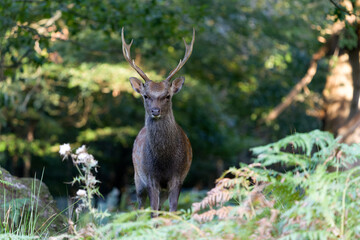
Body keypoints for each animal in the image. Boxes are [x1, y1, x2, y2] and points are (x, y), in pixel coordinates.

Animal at [121, 28, 194, 214]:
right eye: (146, 96)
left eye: (167, 96)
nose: (155, 111)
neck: (164, 161)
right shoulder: (150, 177)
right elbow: (153, 211)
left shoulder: (178, 177)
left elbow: (172, 211)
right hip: (137, 177)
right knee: (140, 207)